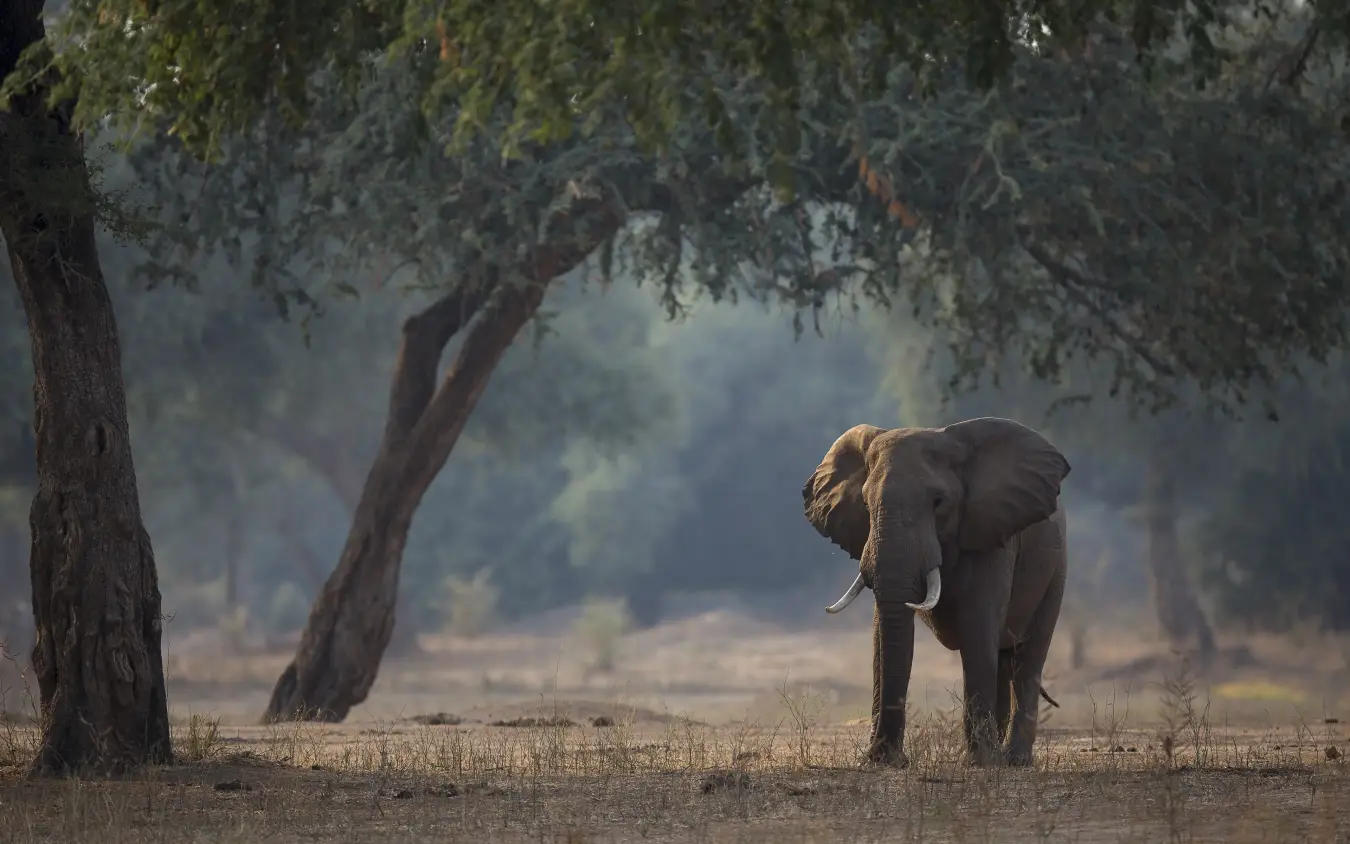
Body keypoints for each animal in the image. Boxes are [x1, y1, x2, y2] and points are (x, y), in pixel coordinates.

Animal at [801, 417, 1070, 768]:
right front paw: (881, 761)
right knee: (1003, 656)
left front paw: (979, 764)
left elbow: (977, 627)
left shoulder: (990, 535)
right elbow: (882, 636)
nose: (890, 759)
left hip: (1057, 569)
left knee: (1029, 657)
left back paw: (1014, 760)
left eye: (939, 503)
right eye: (865, 504)